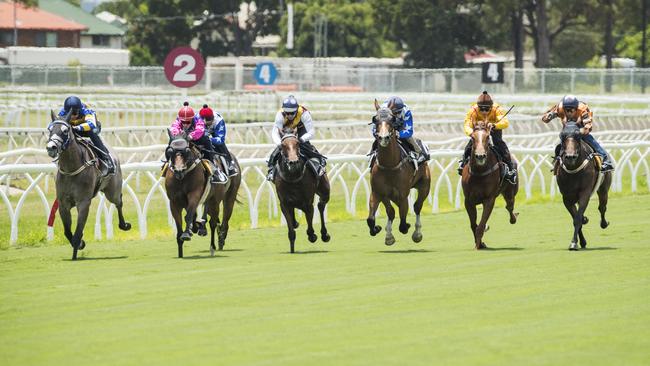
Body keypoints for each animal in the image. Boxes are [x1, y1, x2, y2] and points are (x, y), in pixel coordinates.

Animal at [45, 111, 130, 260]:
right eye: (50, 130)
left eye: (65, 131)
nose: (51, 147)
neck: (71, 169)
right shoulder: (63, 203)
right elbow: (68, 232)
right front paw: (80, 244)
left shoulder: (83, 203)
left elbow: (78, 232)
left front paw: (77, 247)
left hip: (112, 191)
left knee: (119, 201)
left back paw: (124, 225)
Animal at [364, 101, 430, 246]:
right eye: (375, 119)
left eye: (392, 119)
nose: (383, 138)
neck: (389, 166)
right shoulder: (378, 193)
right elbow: (372, 218)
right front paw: (378, 229)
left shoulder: (402, 195)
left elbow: (403, 224)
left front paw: (408, 227)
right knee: (392, 212)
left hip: (424, 186)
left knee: (417, 206)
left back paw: (417, 233)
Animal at [556, 121, 612, 250]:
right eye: (562, 136)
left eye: (578, 136)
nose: (570, 157)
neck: (573, 171)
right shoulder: (566, 197)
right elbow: (576, 217)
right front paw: (580, 241)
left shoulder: (585, 193)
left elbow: (577, 219)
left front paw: (573, 242)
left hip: (603, 189)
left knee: (602, 207)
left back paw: (604, 223)